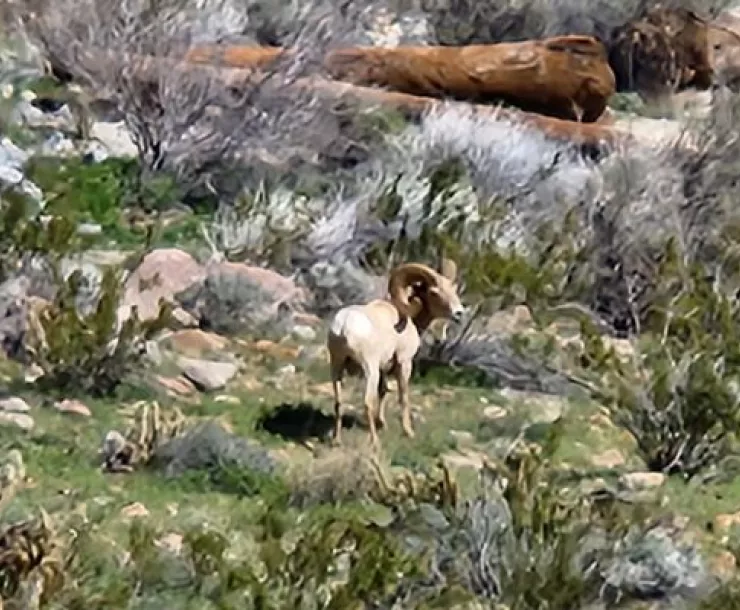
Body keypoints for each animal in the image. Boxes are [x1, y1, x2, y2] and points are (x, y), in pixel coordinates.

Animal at [328, 258, 462, 448]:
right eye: (434, 292)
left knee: (339, 402)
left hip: (337, 368)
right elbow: (403, 397)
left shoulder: (384, 368)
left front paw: (382, 423)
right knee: (367, 403)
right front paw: (408, 432)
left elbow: (383, 391)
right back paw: (375, 443)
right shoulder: (404, 363)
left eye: (453, 289)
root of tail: (343, 327)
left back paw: (337, 441)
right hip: (369, 370)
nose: (459, 313)